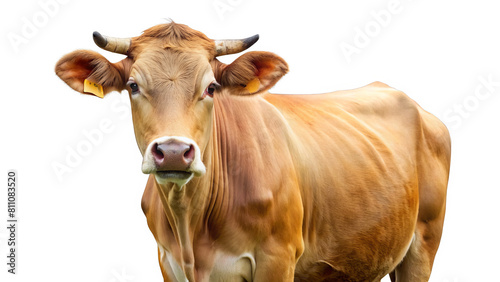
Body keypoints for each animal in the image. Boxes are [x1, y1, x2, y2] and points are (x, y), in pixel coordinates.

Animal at [54, 20, 450, 280]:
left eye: (211, 87)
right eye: (134, 85)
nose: (173, 151)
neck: (192, 228)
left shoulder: (278, 258)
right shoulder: (168, 262)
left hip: (423, 243)